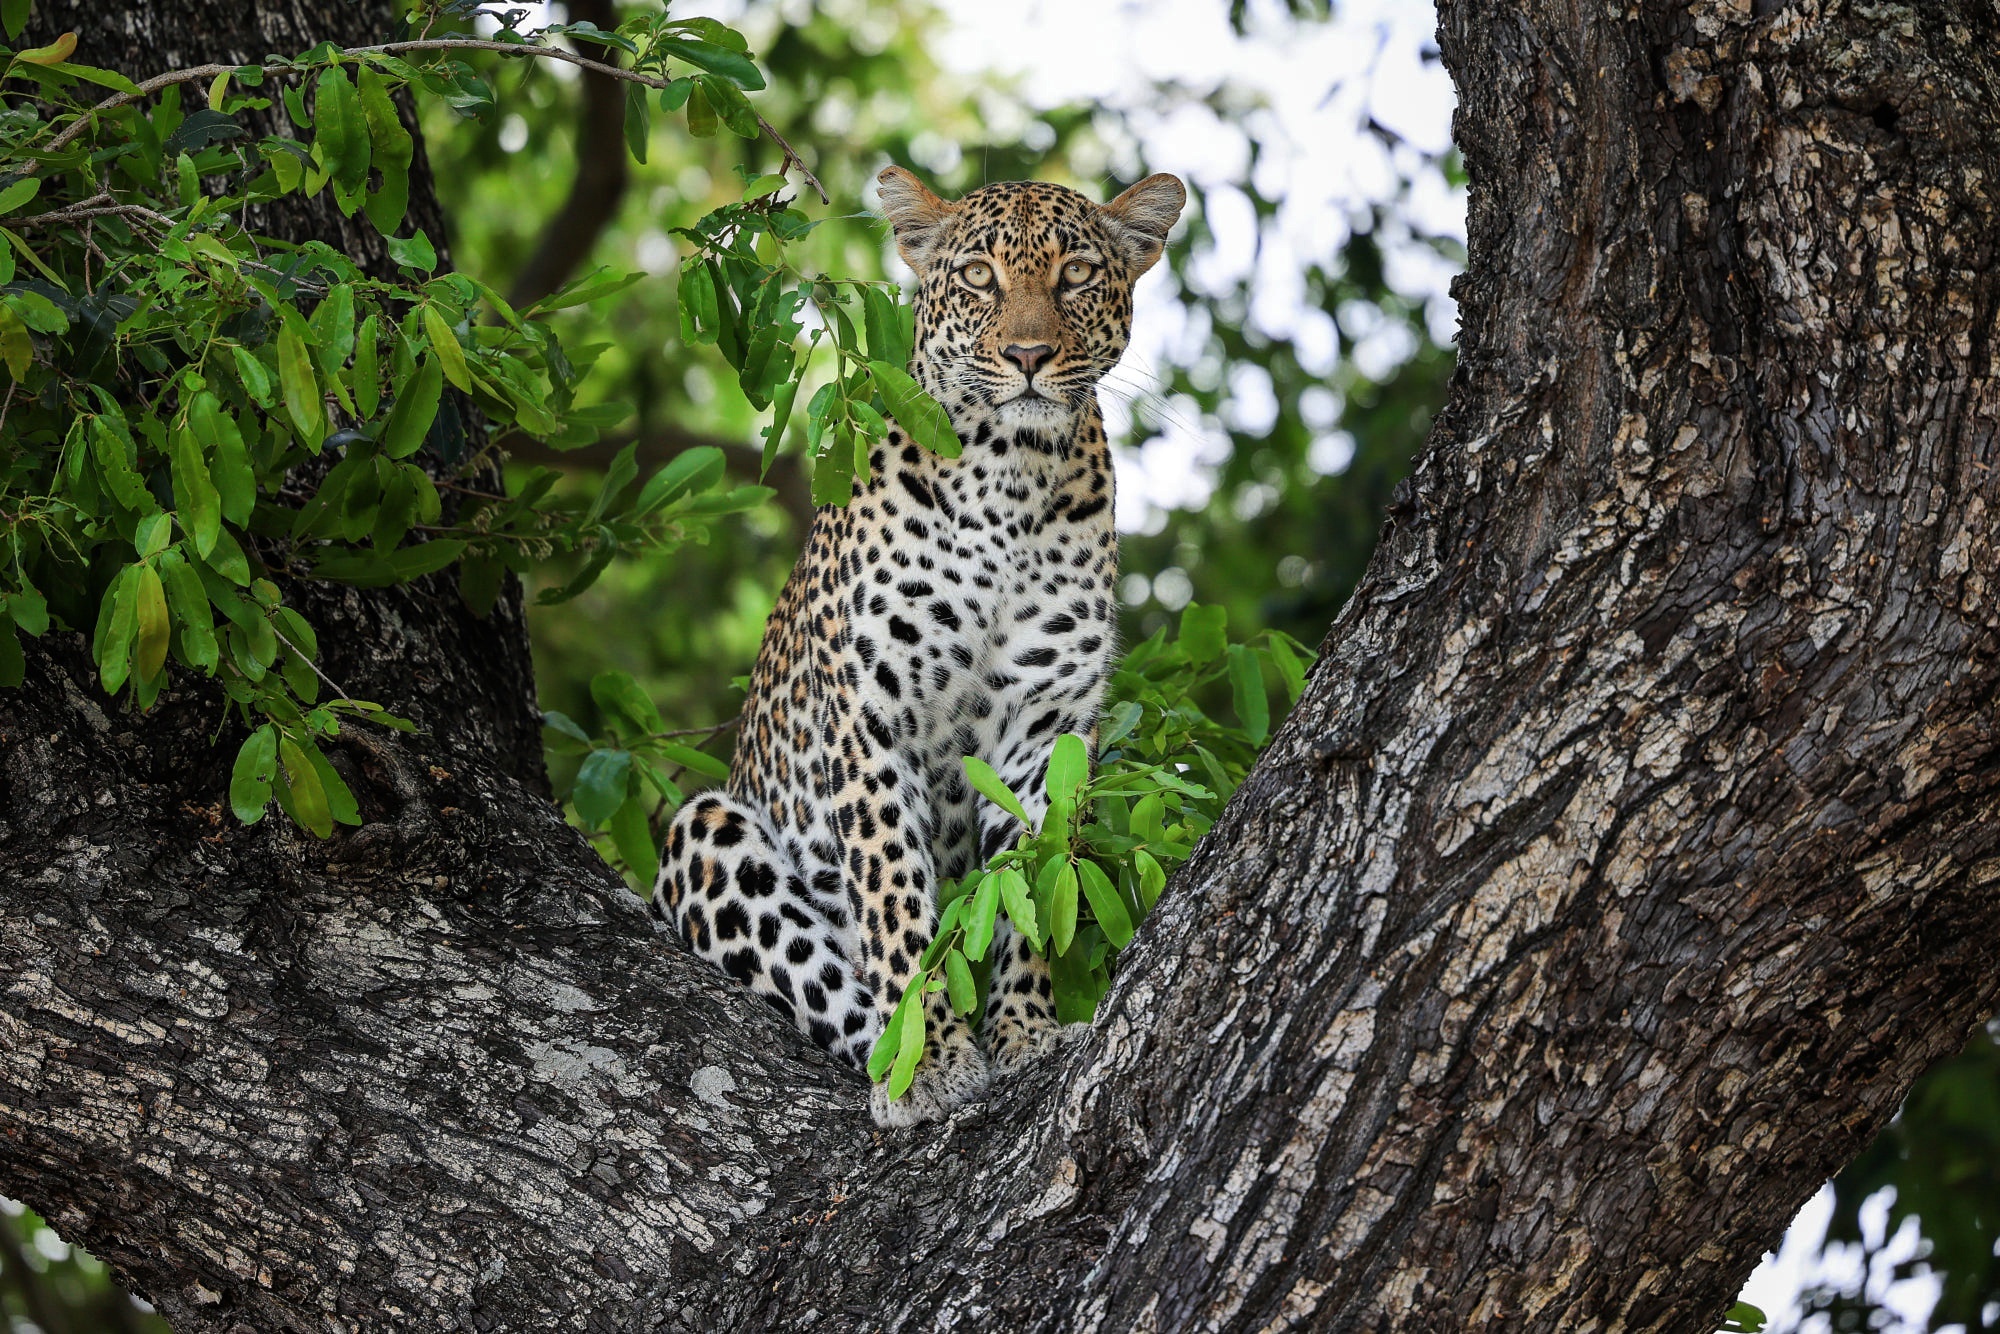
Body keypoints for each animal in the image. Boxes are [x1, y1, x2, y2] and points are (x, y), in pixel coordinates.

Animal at [651, 166, 1187, 1126]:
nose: (1028, 355)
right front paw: (930, 1060)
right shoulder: (870, 718)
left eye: (1077, 276)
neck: (1010, 475)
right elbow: (894, 894)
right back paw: (890, 1055)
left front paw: (1025, 1034)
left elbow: (1025, 887)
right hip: (703, 831)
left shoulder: (1041, 729)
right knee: (828, 975)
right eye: (978, 276)